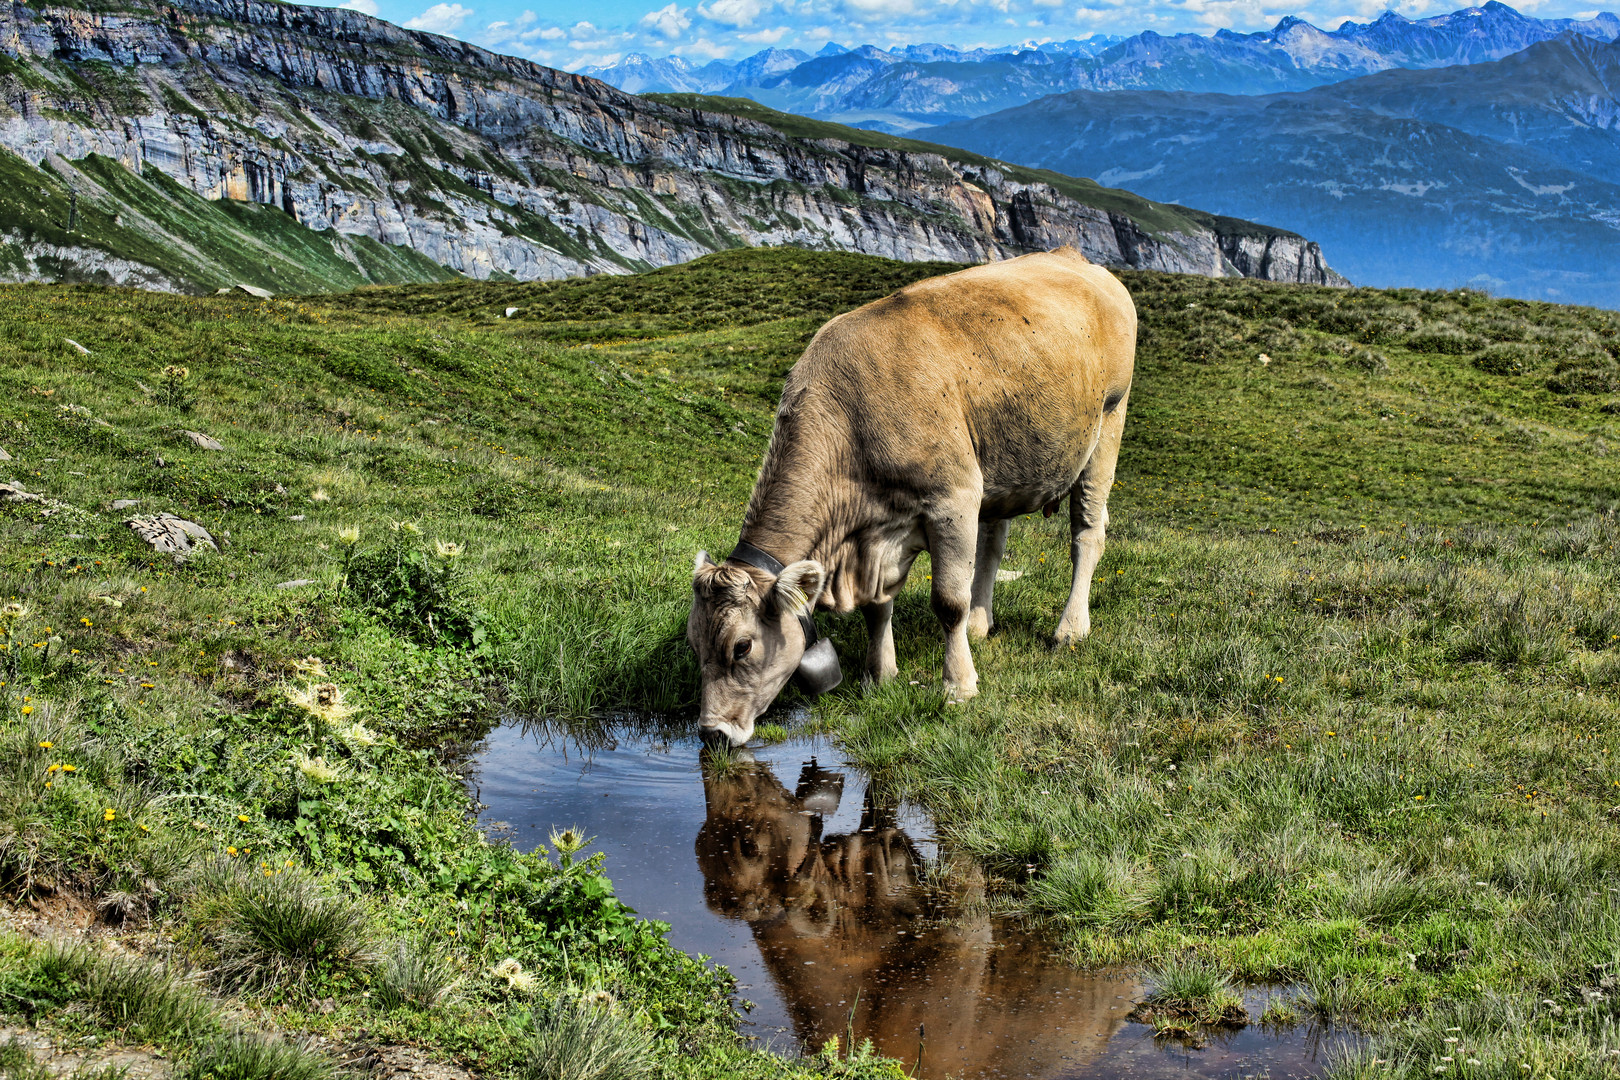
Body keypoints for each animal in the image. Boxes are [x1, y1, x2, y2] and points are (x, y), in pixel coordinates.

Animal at [690, 247, 1134, 748]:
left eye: (742, 646)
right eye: (693, 642)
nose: (712, 733)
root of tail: (1074, 258)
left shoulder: (952, 501)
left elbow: (948, 602)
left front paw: (959, 686)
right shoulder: (882, 532)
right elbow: (878, 606)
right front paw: (879, 675)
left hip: (1107, 425)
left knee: (1087, 535)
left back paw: (1069, 630)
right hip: (998, 462)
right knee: (993, 544)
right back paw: (981, 623)